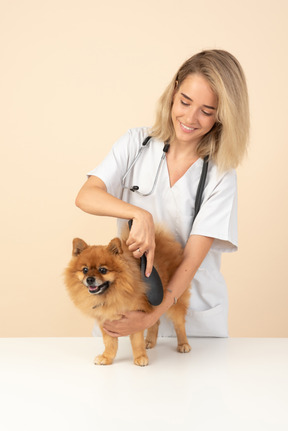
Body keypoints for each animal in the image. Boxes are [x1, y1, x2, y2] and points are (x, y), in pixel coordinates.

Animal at [65, 226, 191, 368]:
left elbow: (136, 342)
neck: (111, 294)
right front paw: (107, 357)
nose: (90, 279)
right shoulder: (106, 320)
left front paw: (140, 357)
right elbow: (110, 343)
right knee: (155, 322)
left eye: (103, 270)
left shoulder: (135, 317)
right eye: (85, 270)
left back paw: (183, 344)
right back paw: (150, 341)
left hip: (175, 302)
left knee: (179, 324)